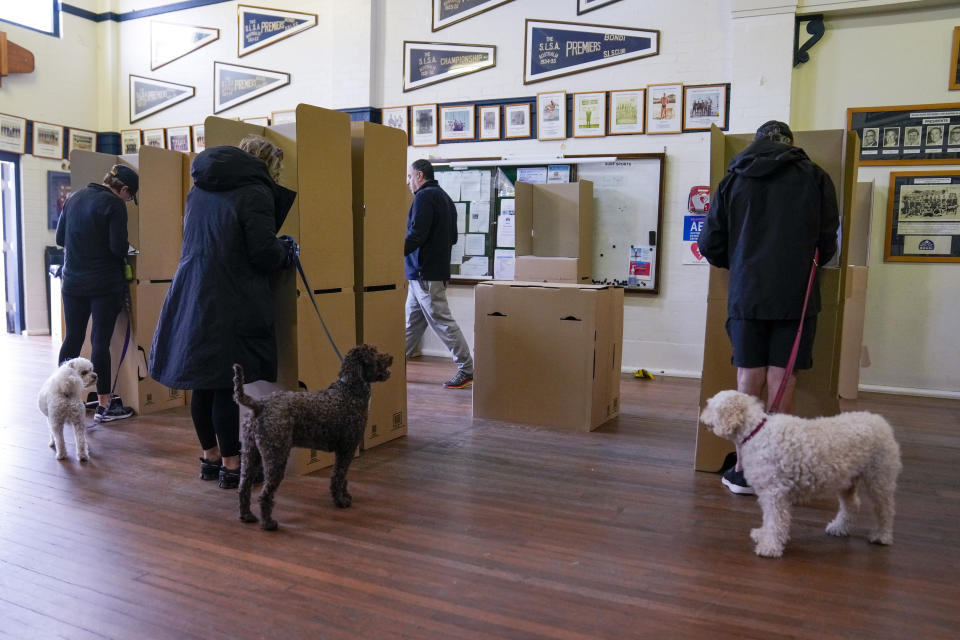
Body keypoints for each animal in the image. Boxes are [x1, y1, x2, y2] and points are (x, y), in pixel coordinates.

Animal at [696, 388, 900, 556]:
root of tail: (881, 421)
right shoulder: (766, 493)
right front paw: (763, 534)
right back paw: (839, 527)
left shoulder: (774, 493)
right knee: (852, 505)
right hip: (847, 481)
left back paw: (882, 535)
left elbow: (775, 520)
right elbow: (768, 519)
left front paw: (770, 547)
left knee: (886, 509)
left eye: (710, 406)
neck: (756, 432)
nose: (701, 417)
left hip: (879, 478)